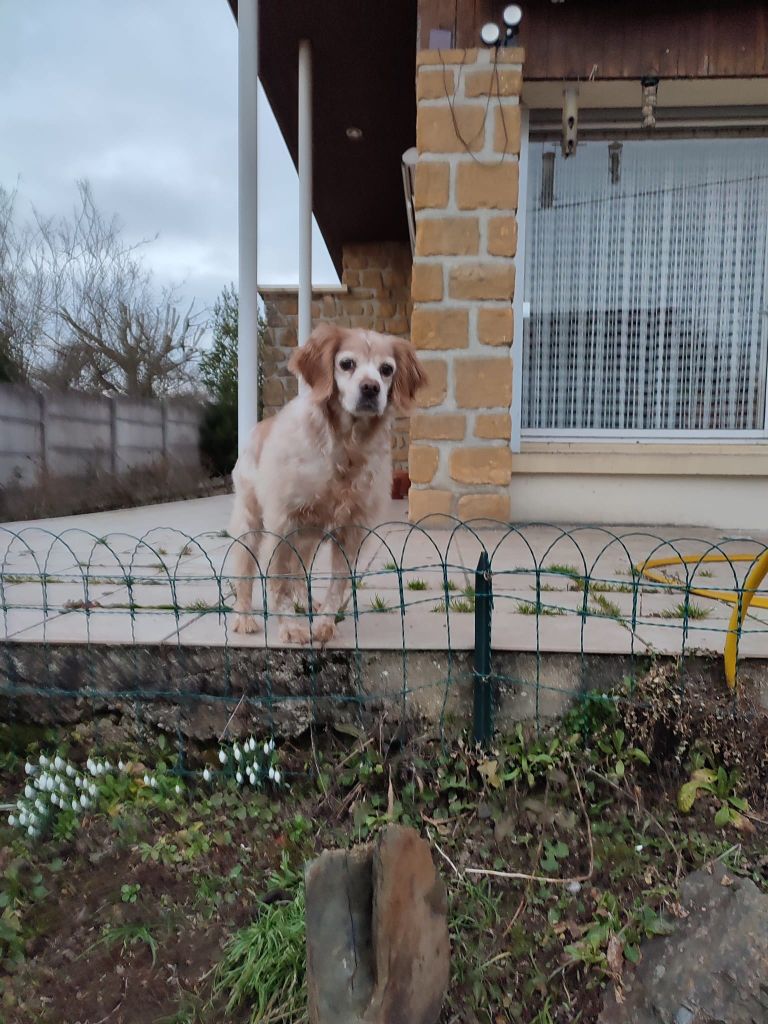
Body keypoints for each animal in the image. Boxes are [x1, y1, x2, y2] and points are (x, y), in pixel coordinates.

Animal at [228, 323, 428, 643]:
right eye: (346, 364)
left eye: (386, 369)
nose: (371, 388)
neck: (346, 446)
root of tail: (259, 427)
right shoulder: (282, 523)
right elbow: (278, 581)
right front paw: (291, 627)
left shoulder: (351, 530)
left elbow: (338, 583)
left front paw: (324, 624)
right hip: (250, 523)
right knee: (245, 572)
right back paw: (244, 616)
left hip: (308, 535)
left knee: (300, 571)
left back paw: (306, 602)